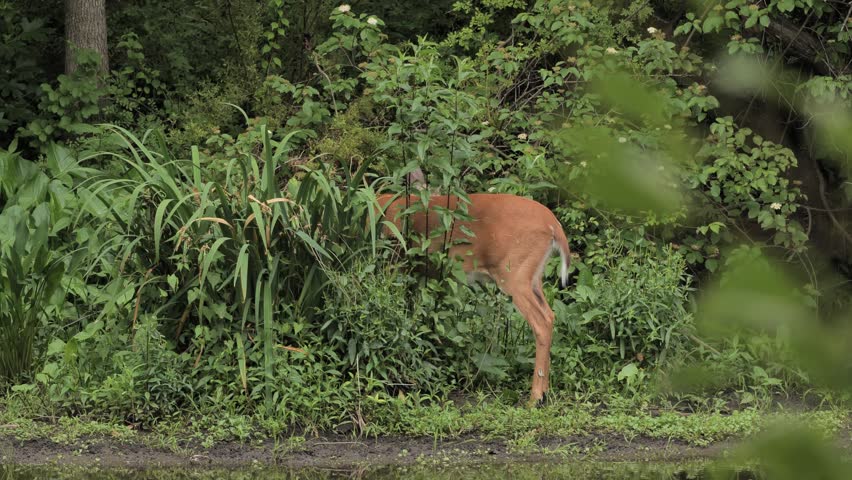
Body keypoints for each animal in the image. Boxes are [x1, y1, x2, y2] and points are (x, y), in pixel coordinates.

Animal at [376, 169, 572, 406]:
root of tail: (554, 225)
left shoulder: (393, 264)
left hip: (513, 274)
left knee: (541, 322)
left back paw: (535, 398)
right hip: (534, 277)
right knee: (550, 315)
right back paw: (546, 392)